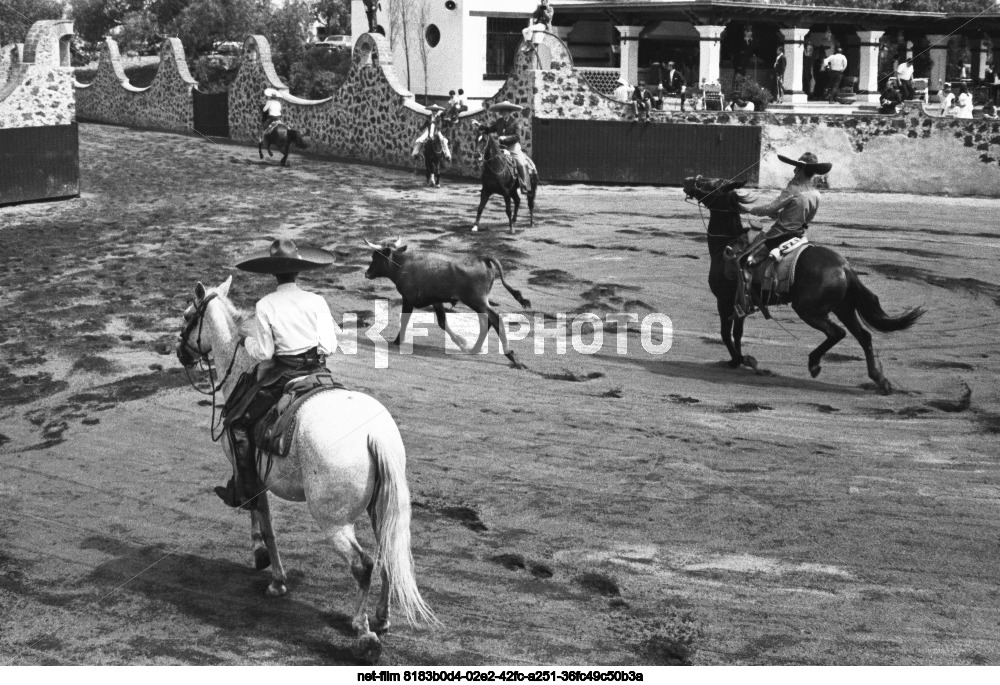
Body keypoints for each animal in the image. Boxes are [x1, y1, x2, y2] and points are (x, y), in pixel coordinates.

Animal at [175, 276, 438, 660]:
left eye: (187, 316)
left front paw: (273, 575)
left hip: (333, 521)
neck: (242, 372)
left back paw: (363, 631)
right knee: (388, 554)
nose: (180, 352)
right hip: (382, 508)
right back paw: (382, 617)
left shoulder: (248, 469)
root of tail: (374, 434)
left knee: (362, 565)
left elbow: (262, 518)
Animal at [362, 239, 532, 368]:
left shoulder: (408, 298)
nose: (367, 273)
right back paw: (475, 348)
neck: (403, 263)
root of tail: (483, 257)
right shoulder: (436, 300)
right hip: (479, 303)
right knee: (486, 322)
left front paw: (397, 341)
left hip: (477, 301)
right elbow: (442, 322)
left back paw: (511, 355)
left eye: (375, 257)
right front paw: (461, 342)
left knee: (495, 319)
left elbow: (404, 320)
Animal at [684, 174, 924, 392]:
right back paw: (879, 379)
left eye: (710, 183)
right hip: (843, 308)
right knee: (863, 336)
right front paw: (737, 360)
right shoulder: (739, 302)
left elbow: (726, 334)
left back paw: (814, 364)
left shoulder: (724, 301)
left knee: (837, 333)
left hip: (808, 310)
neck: (728, 245)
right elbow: (737, 333)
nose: (688, 180)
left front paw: (745, 360)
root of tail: (844, 267)